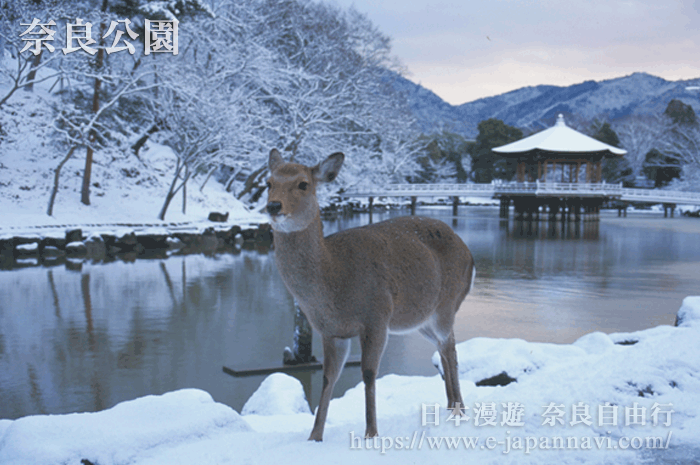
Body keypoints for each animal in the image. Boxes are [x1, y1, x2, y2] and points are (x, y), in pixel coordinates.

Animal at [264, 150, 476, 442]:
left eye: (303, 184)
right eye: (268, 182)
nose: (273, 206)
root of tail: (470, 255)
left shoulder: (376, 317)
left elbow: (368, 373)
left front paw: (371, 433)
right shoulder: (331, 331)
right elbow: (328, 377)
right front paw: (314, 436)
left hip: (447, 304)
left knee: (449, 346)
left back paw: (458, 409)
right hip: (420, 320)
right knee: (444, 347)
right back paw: (451, 406)